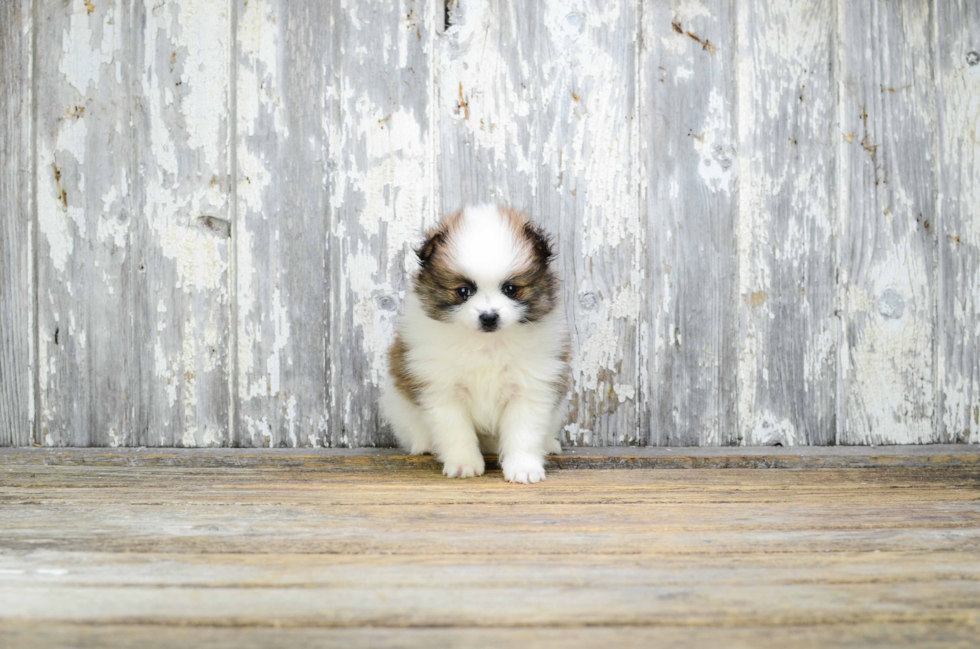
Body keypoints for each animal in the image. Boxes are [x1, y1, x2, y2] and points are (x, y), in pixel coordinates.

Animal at [380, 205, 572, 484]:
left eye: (511, 289)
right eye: (463, 291)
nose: (489, 317)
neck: (486, 343)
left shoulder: (528, 388)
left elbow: (523, 433)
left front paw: (523, 468)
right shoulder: (444, 390)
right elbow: (456, 432)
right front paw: (464, 464)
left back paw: (549, 444)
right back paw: (423, 444)